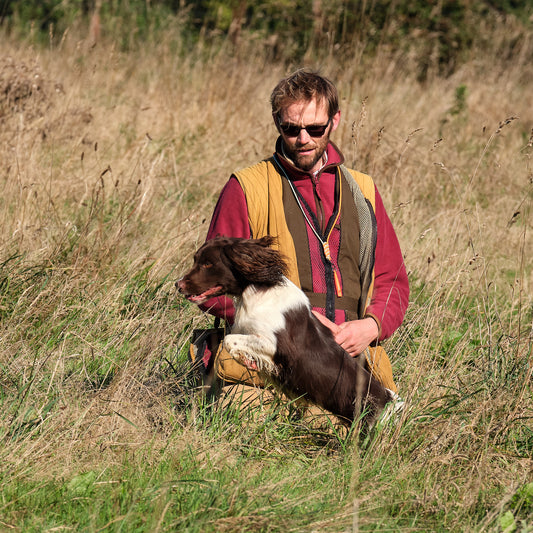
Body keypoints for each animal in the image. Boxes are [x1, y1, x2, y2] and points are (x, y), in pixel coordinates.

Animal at [177, 235, 392, 426]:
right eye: (196, 260)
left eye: (208, 264)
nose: (178, 284)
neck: (257, 289)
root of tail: (387, 400)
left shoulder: (278, 346)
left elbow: (231, 339)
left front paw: (244, 357)